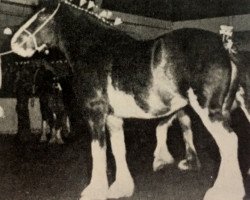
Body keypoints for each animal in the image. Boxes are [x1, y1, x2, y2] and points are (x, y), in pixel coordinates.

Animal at [10, 1, 246, 198]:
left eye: (41, 15)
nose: (15, 43)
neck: (95, 50)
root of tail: (224, 48)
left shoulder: (95, 112)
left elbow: (98, 151)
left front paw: (95, 190)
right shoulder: (113, 117)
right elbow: (118, 149)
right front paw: (121, 188)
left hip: (208, 109)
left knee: (229, 142)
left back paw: (223, 191)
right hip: (223, 109)